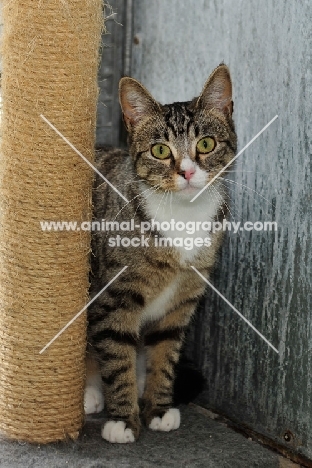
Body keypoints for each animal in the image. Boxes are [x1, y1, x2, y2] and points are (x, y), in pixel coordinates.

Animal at [84, 65, 235, 442]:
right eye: (160, 150)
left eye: (206, 144)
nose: (187, 171)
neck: (183, 214)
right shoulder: (114, 299)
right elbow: (117, 354)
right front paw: (123, 420)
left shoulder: (182, 301)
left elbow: (165, 353)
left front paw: (159, 409)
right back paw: (90, 392)